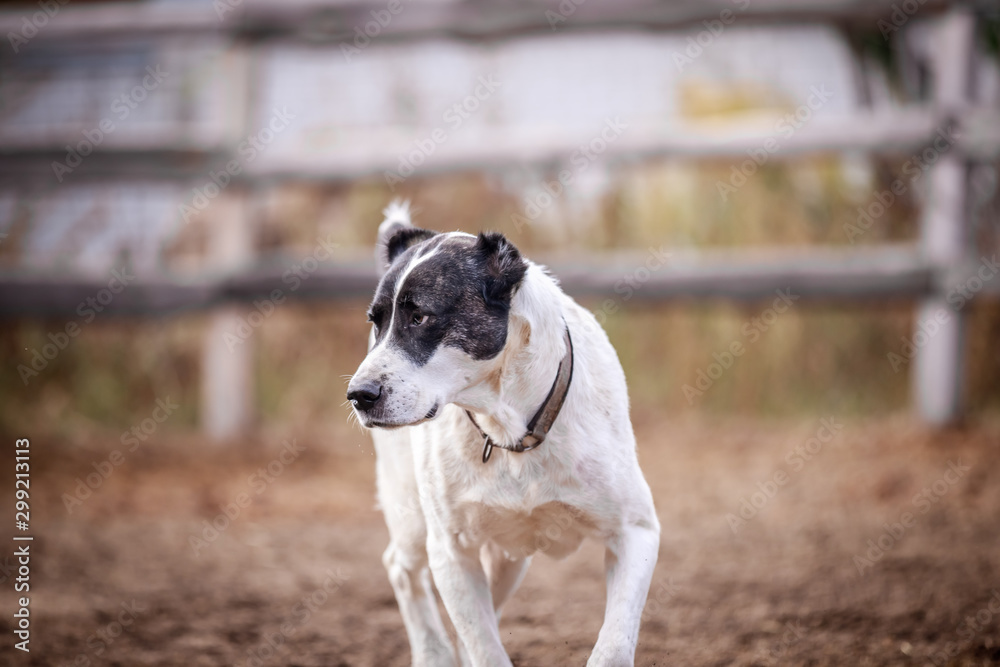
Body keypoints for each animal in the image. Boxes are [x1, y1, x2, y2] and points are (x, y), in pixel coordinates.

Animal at [348, 202, 660, 667]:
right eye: (376, 323)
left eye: (420, 316)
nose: (358, 395)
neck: (511, 431)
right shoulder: (450, 552)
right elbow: (483, 646)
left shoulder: (636, 532)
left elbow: (613, 647)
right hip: (412, 517)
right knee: (400, 568)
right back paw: (433, 653)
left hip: (508, 559)